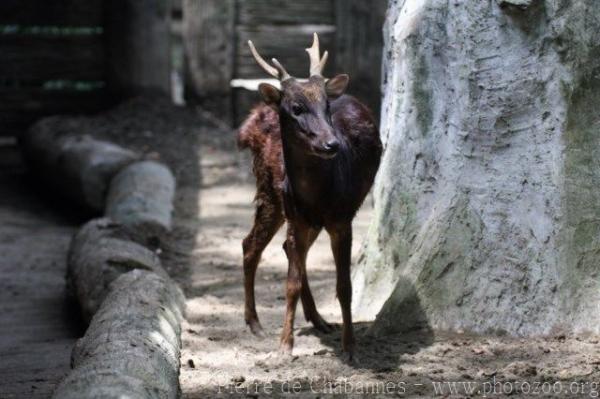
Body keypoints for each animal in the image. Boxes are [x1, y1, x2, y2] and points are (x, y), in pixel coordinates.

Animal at [238, 32, 382, 360]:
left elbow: (344, 286)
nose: (332, 144)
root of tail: (249, 125)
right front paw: (284, 346)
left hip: (299, 214)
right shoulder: (298, 216)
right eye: (296, 108)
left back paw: (317, 319)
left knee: (282, 249)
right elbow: (290, 282)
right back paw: (254, 323)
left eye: (327, 106)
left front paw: (350, 347)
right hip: (269, 191)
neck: (319, 193)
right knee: (250, 245)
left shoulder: (342, 218)